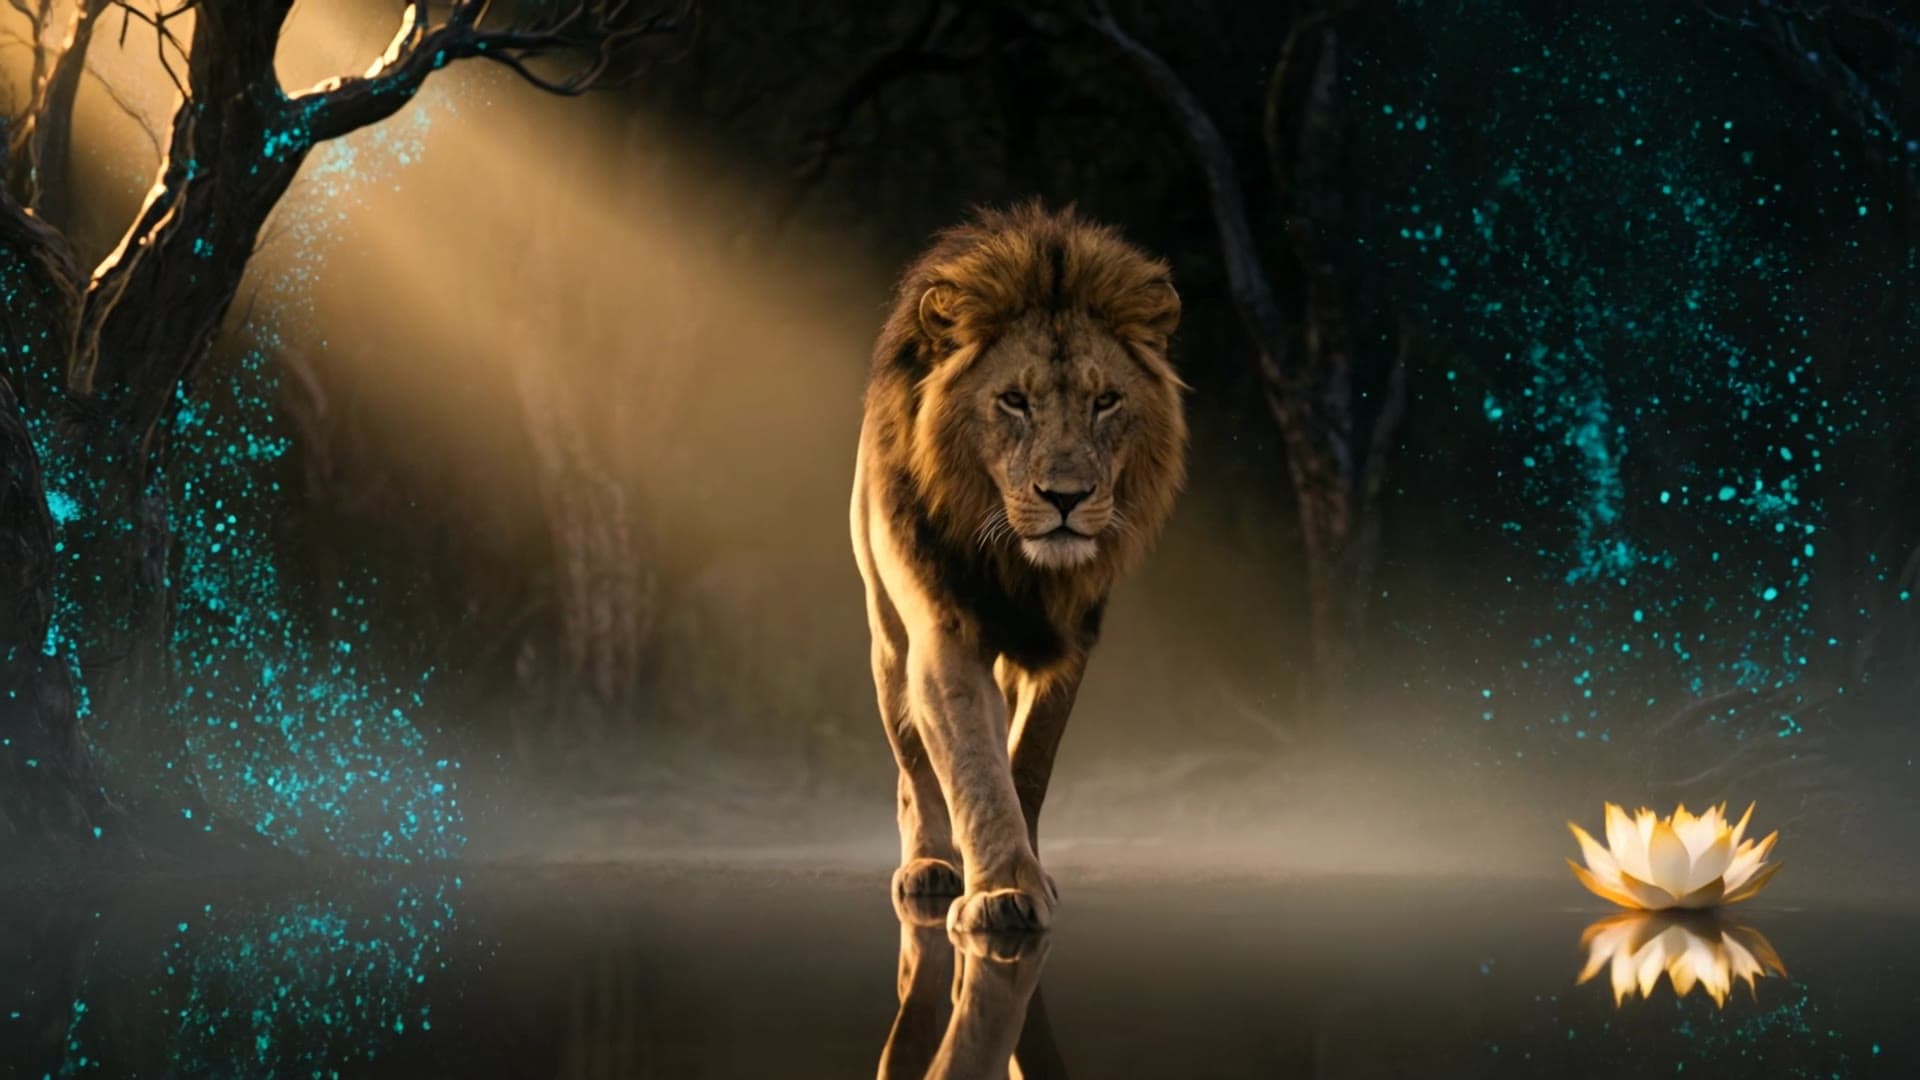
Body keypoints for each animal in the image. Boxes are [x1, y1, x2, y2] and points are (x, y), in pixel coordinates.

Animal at [850, 202, 1187, 933]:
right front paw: (1001, 891)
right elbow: (975, 767)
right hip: (887, 646)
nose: (1066, 497)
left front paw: (1026, 872)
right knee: (914, 769)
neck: (1018, 562)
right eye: (1013, 401)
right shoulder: (944, 635)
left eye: (1105, 401)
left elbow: (1027, 761)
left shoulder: (1072, 640)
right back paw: (929, 867)